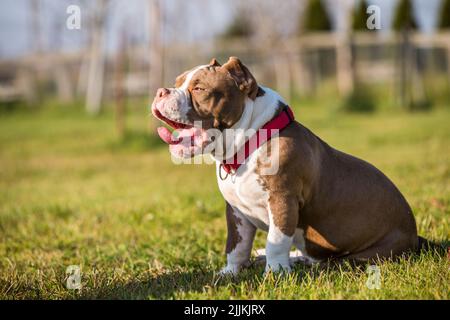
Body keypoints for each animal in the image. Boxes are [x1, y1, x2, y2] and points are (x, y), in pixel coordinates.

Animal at [151, 56, 418, 274]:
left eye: (199, 88)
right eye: (177, 82)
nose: (161, 92)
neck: (248, 145)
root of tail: (416, 237)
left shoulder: (282, 201)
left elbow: (276, 241)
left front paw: (276, 273)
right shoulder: (236, 212)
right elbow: (236, 246)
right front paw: (229, 272)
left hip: (367, 254)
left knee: (331, 261)